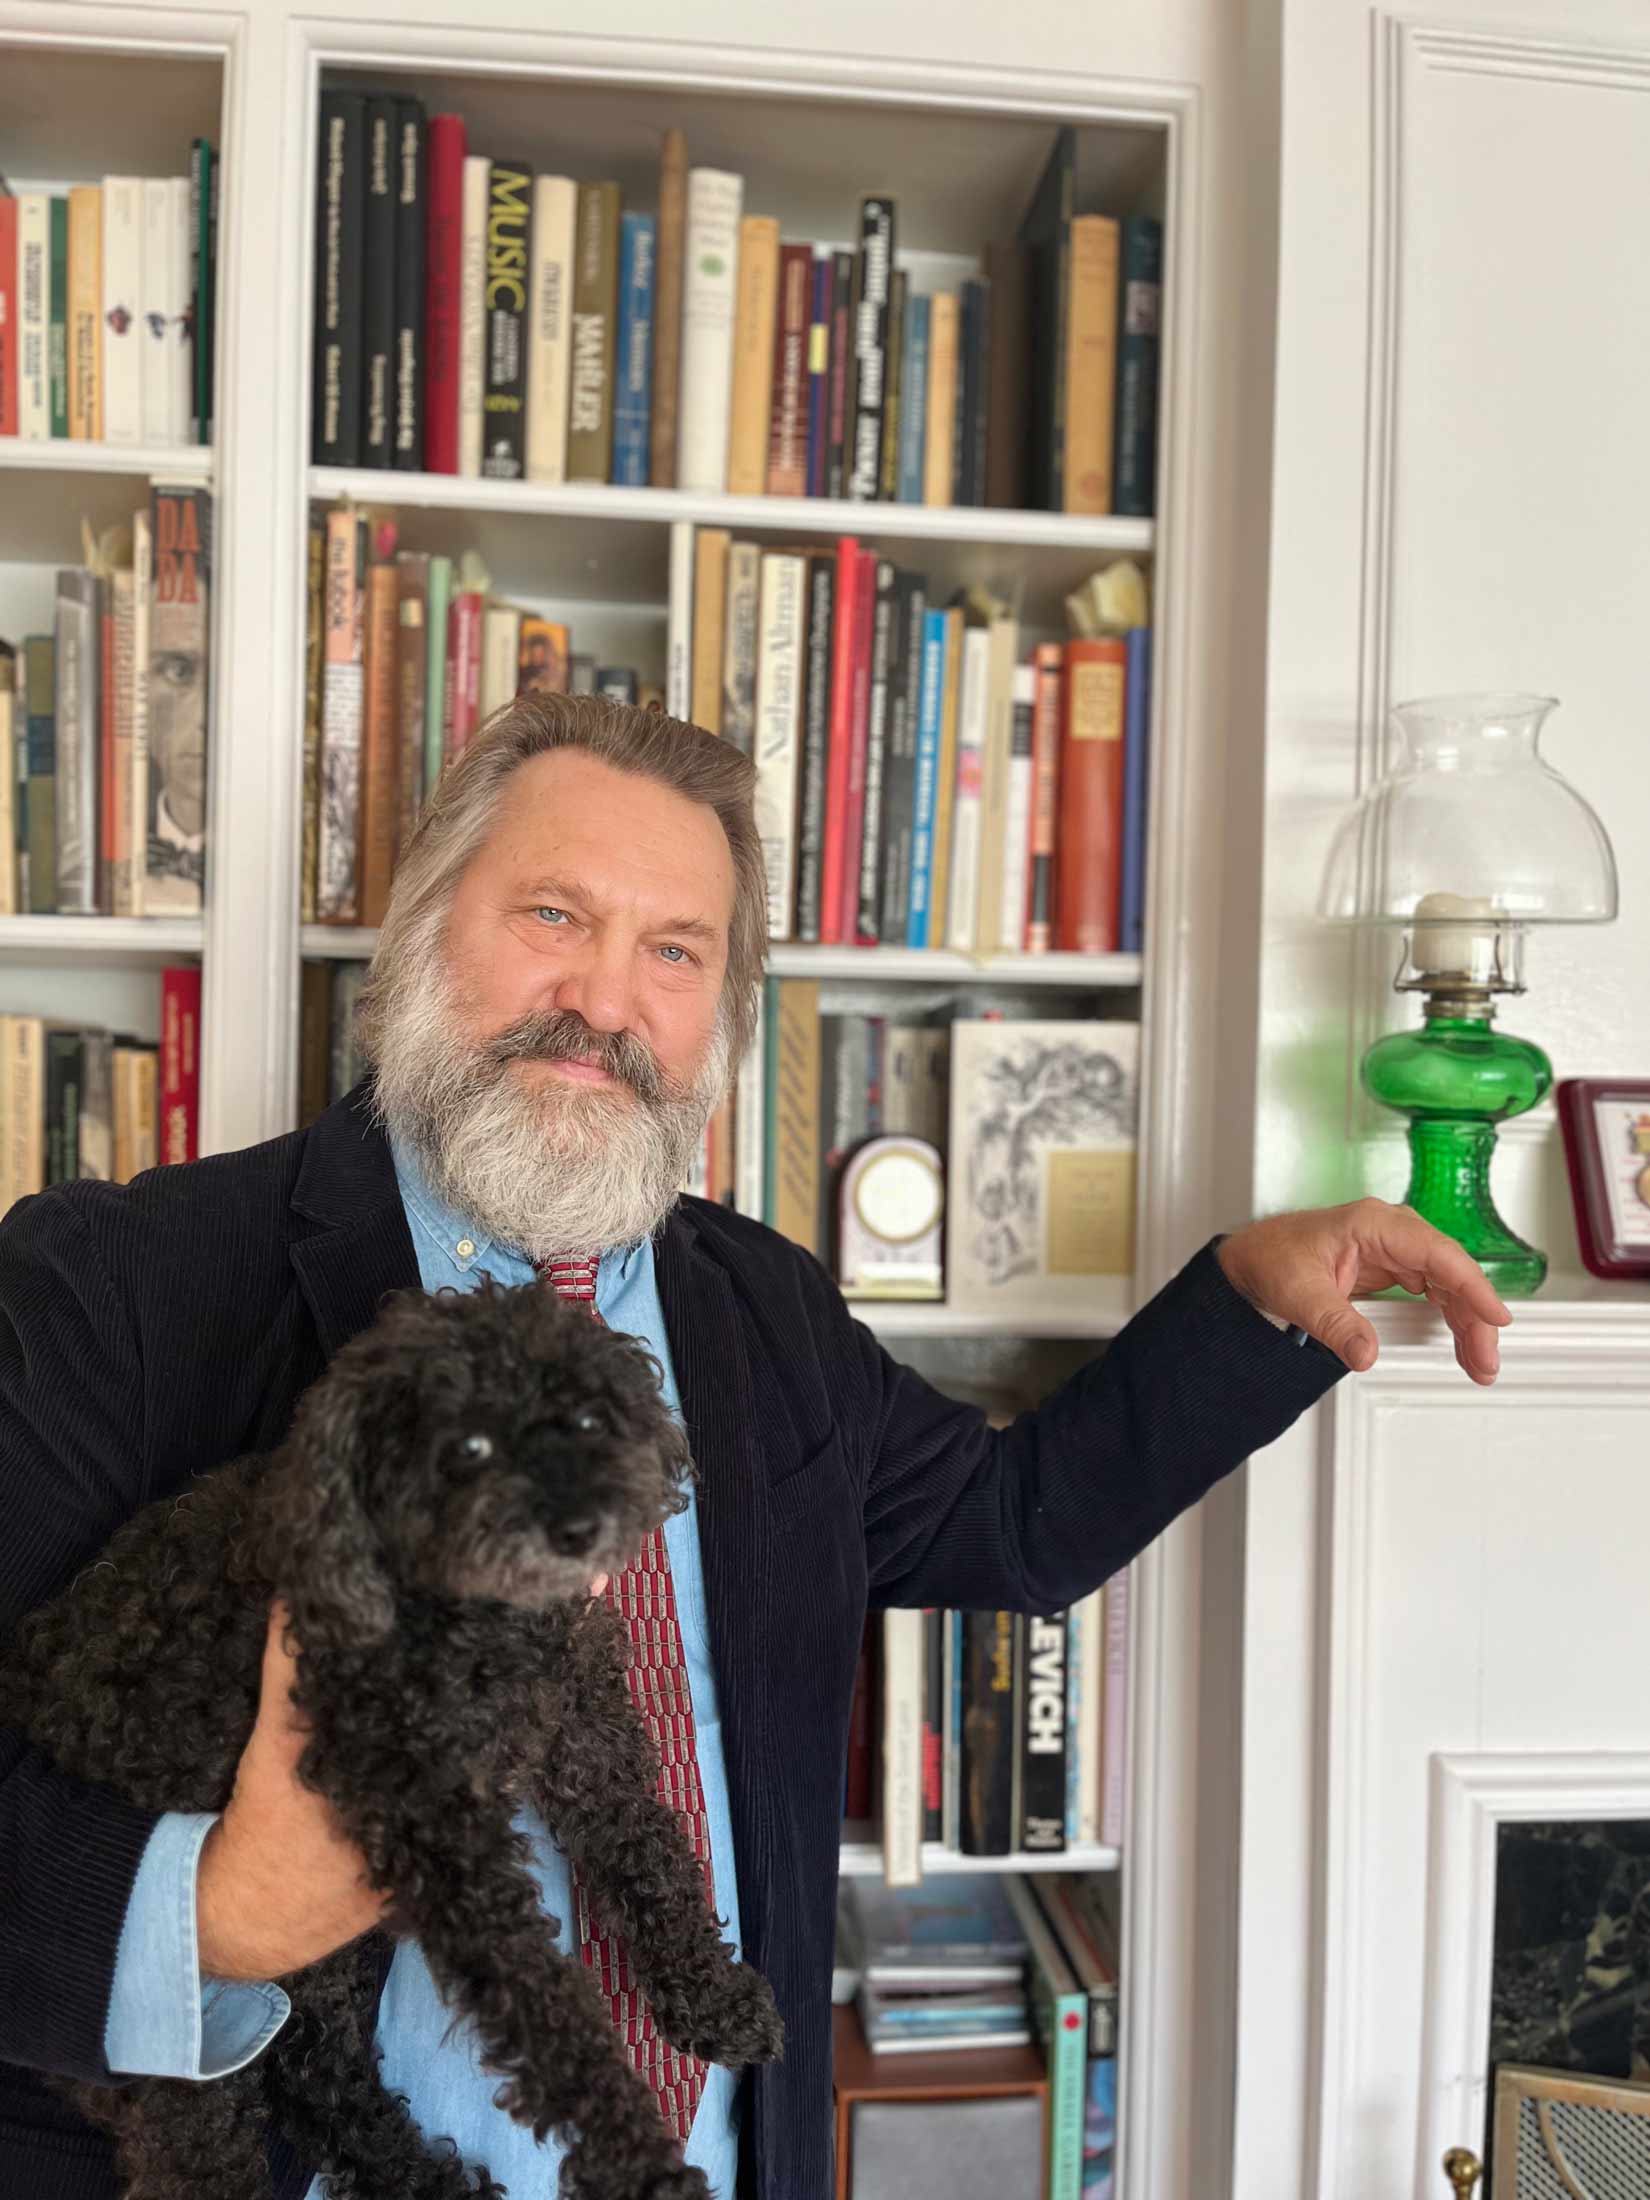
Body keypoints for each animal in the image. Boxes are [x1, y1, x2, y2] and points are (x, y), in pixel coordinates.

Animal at [0, 1284, 783, 2200]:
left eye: (592, 1419)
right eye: (468, 1443)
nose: (581, 1526)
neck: (484, 1616)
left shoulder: (582, 1720)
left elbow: (649, 1851)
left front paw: (713, 1993)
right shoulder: (435, 1825)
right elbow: (542, 2002)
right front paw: (637, 2159)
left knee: (316, 2074)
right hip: (174, 2042)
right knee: (202, 2151)